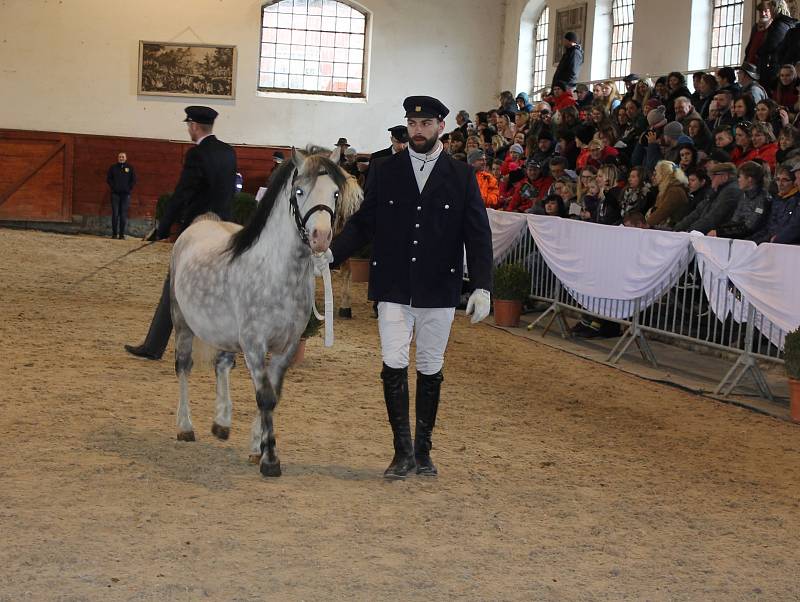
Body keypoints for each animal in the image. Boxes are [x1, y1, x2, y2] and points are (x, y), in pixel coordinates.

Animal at [169, 148, 362, 476]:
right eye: (299, 191)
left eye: (335, 193)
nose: (321, 237)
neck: (275, 273)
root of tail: (200, 224)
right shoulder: (255, 344)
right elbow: (265, 396)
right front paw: (270, 459)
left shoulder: (286, 347)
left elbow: (274, 395)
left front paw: (256, 449)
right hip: (183, 322)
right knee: (184, 366)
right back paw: (185, 427)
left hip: (226, 334)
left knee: (222, 365)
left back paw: (222, 423)